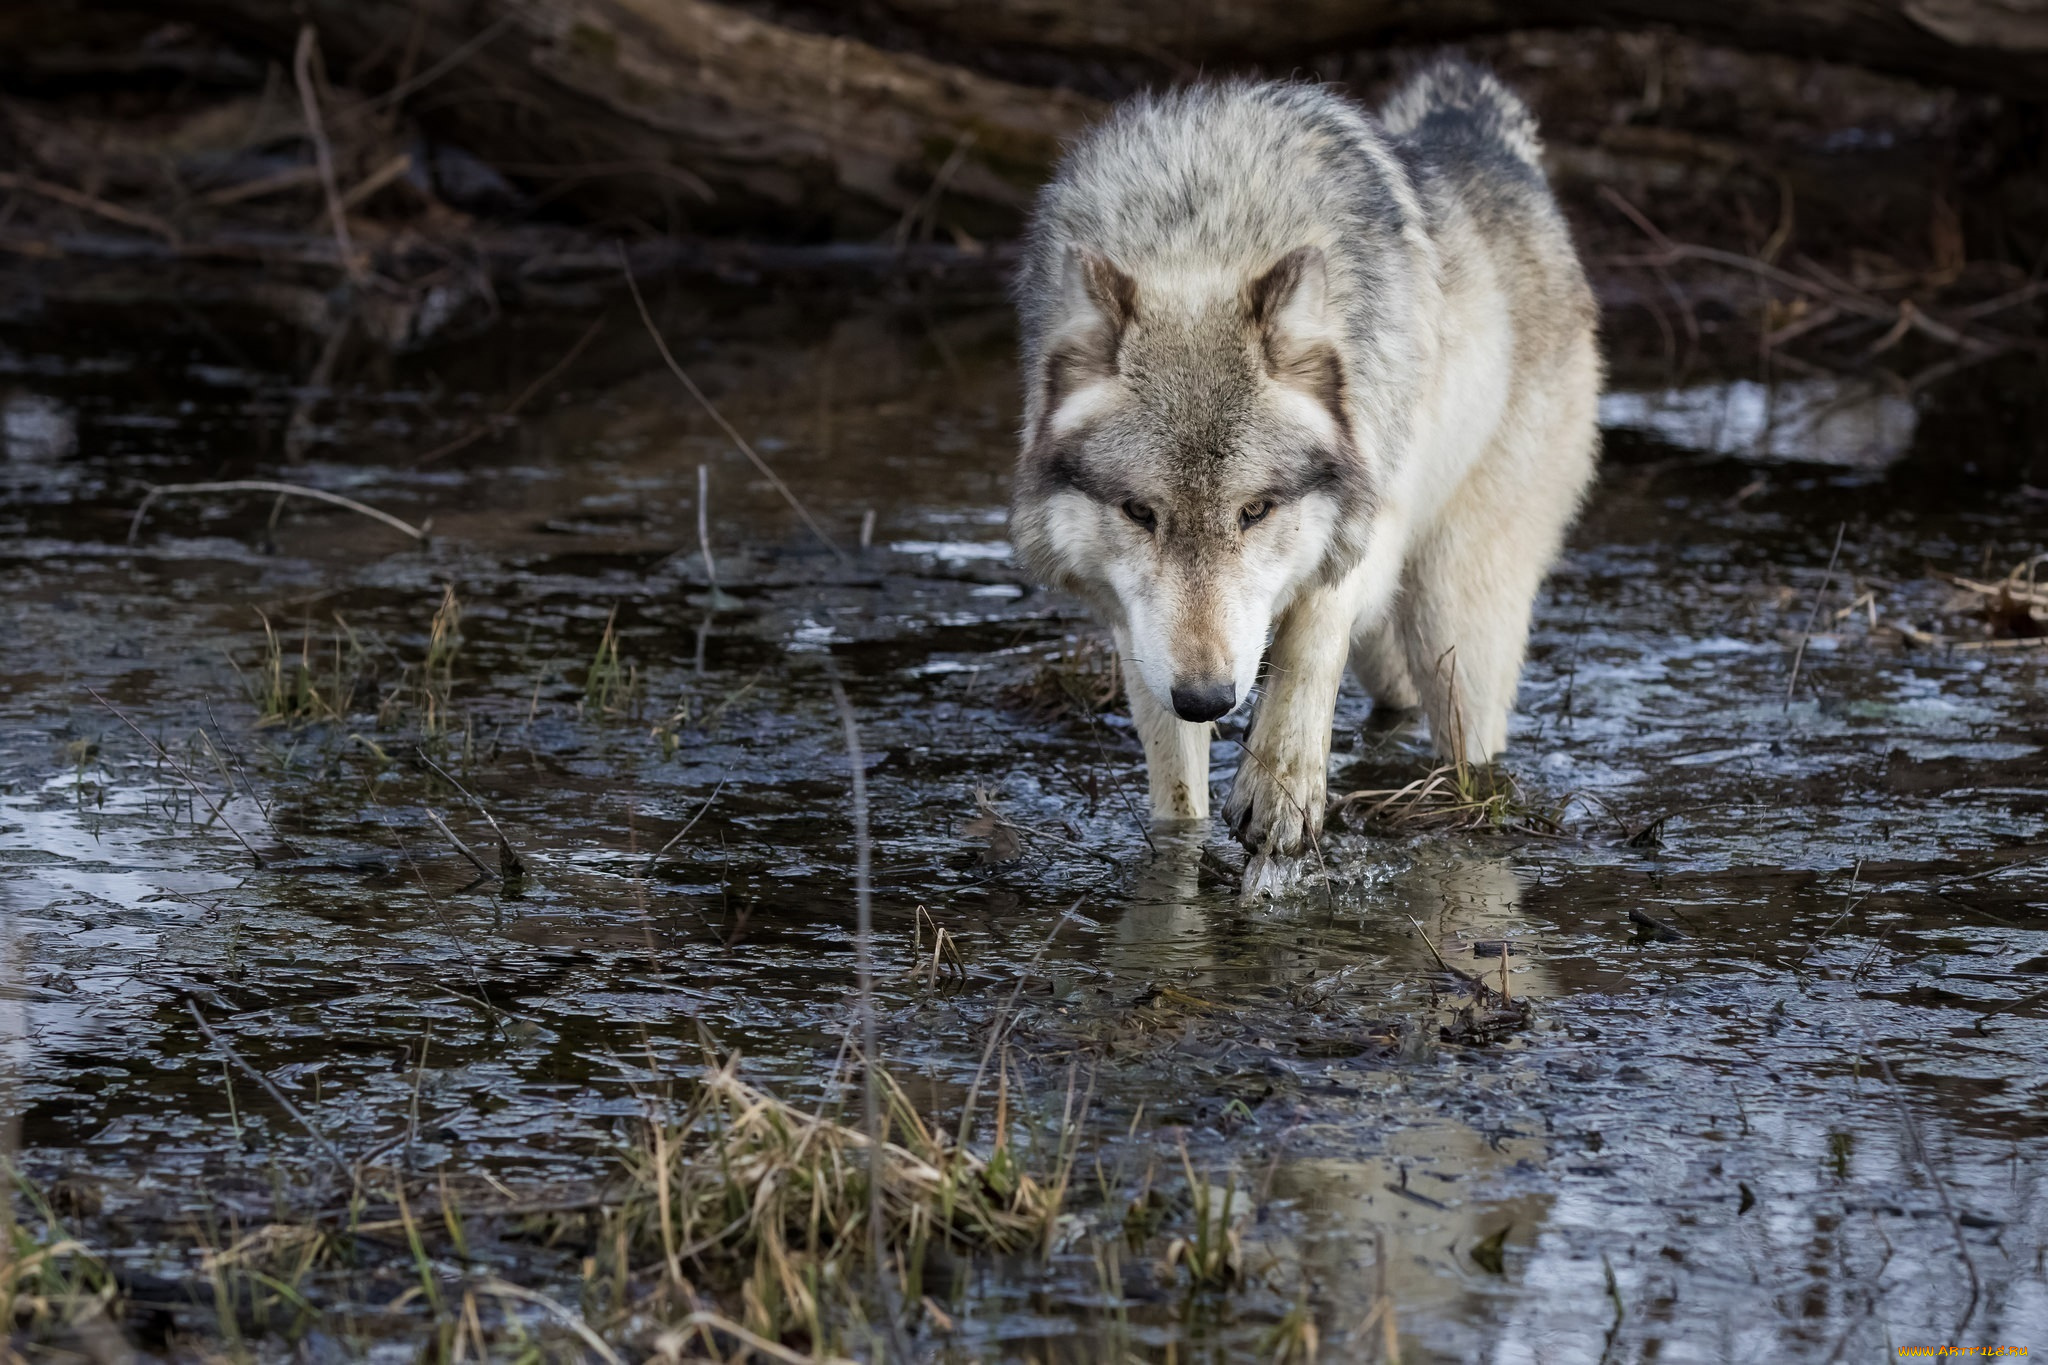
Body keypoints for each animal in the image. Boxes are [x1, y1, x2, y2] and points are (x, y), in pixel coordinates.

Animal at [1007, 61, 1597, 888]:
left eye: (1256, 510)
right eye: (1139, 512)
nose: (1207, 698)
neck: (1203, 236)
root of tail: (1479, 139)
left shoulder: (1366, 521)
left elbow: (1312, 636)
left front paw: (1281, 788)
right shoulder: (1140, 631)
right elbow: (1177, 795)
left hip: (1457, 618)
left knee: (1469, 740)